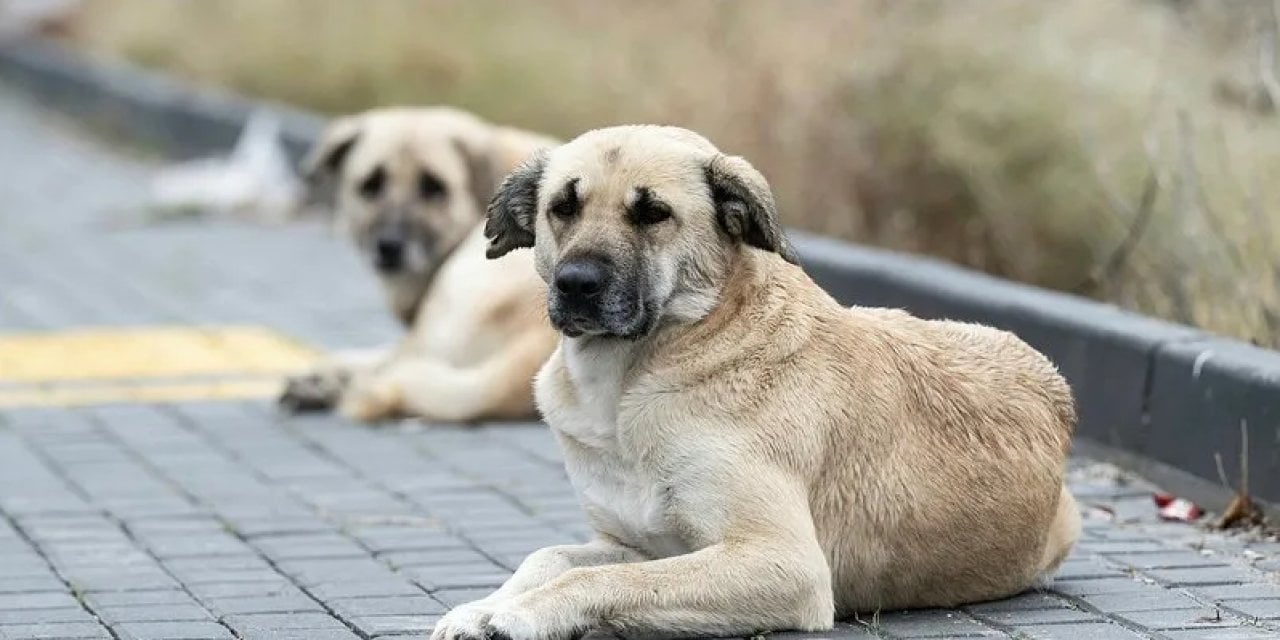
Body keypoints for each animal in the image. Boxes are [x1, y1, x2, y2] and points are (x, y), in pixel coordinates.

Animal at [430, 124, 1080, 640]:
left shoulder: (782, 562)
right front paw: (483, 607)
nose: (576, 284)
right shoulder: (632, 542)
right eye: (562, 207)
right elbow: (548, 557)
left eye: (653, 213)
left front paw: (519, 615)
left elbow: (603, 580)